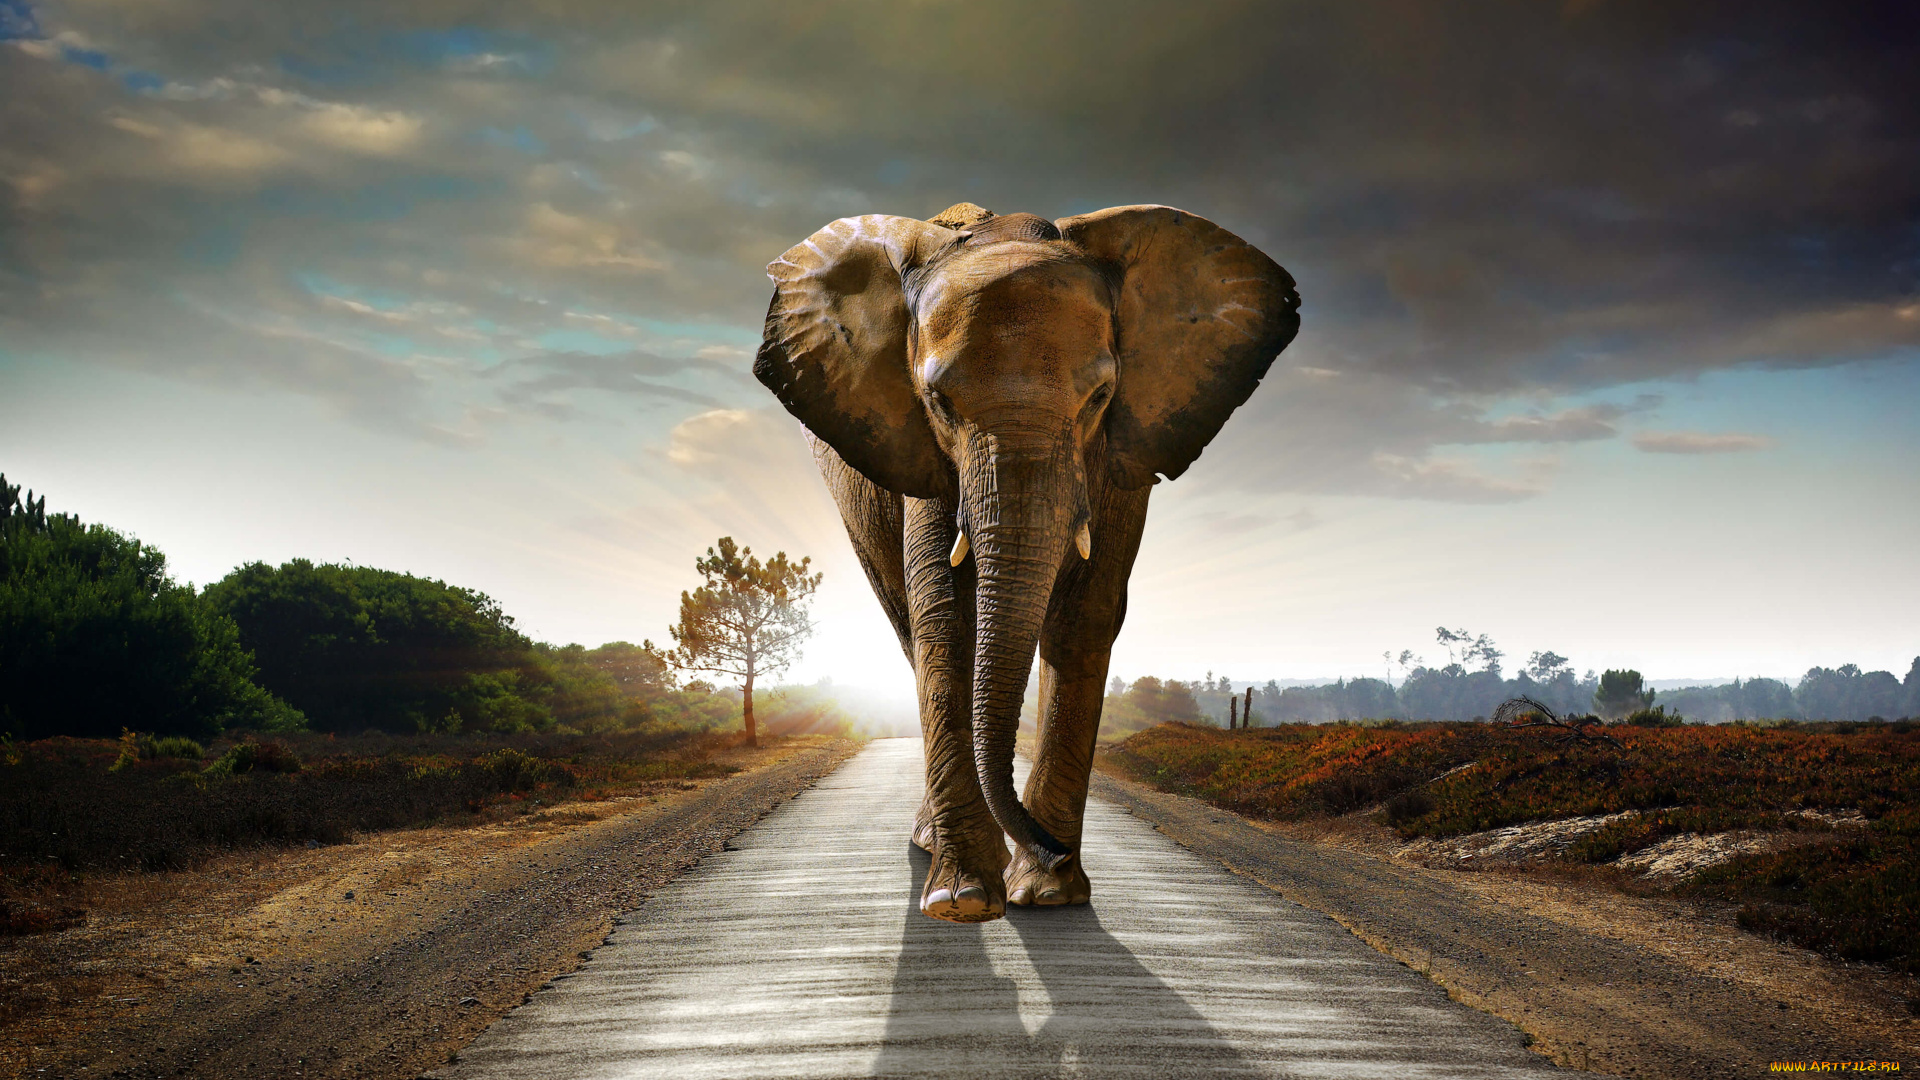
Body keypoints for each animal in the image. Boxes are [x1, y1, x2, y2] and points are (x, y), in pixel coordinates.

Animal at [754, 201, 1300, 922]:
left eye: (1100, 397)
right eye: (938, 402)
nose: (1052, 847)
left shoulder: (1122, 452)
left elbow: (1086, 614)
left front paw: (1048, 893)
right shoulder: (923, 453)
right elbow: (946, 615)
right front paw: (963, 900)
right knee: (907, 626)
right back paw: (934, 847)